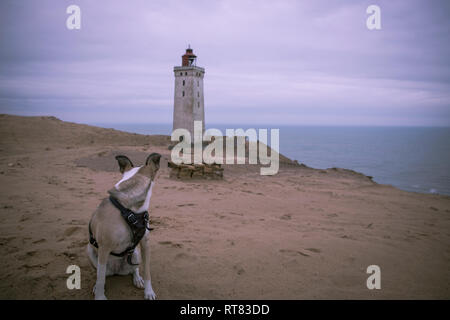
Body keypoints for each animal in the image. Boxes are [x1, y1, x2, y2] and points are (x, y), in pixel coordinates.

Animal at [85, 152, 160, 300]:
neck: (130, 210)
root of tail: (117, 270)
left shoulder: (145, 243)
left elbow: (147, 271)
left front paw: (148, 292)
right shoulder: (104, 248)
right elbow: (100, 278)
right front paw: (100, 296)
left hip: (135, 253)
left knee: (134, 268)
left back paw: (137, 279)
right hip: (91, 251)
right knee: (101, 274)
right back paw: (97, 286)